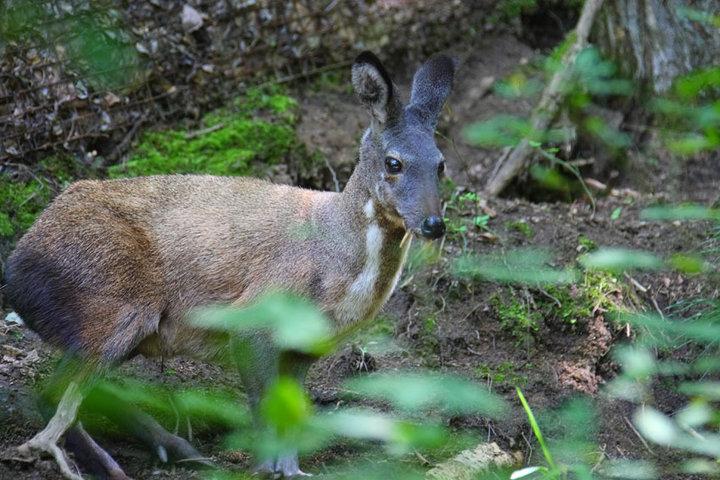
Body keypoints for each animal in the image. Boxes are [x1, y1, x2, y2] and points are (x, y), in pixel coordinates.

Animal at [4, 50, 456, 478]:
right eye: (393, 162)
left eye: (441, 163)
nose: (434, 223)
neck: (336, 267)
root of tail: (14, 270)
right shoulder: (254, 316)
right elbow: (262, 407)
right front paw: (263, 469)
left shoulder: (304, 346)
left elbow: (292, 415)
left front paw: (293, 470)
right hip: (115, 303)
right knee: (52, 392)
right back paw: (119, 465)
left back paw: (175, 448)